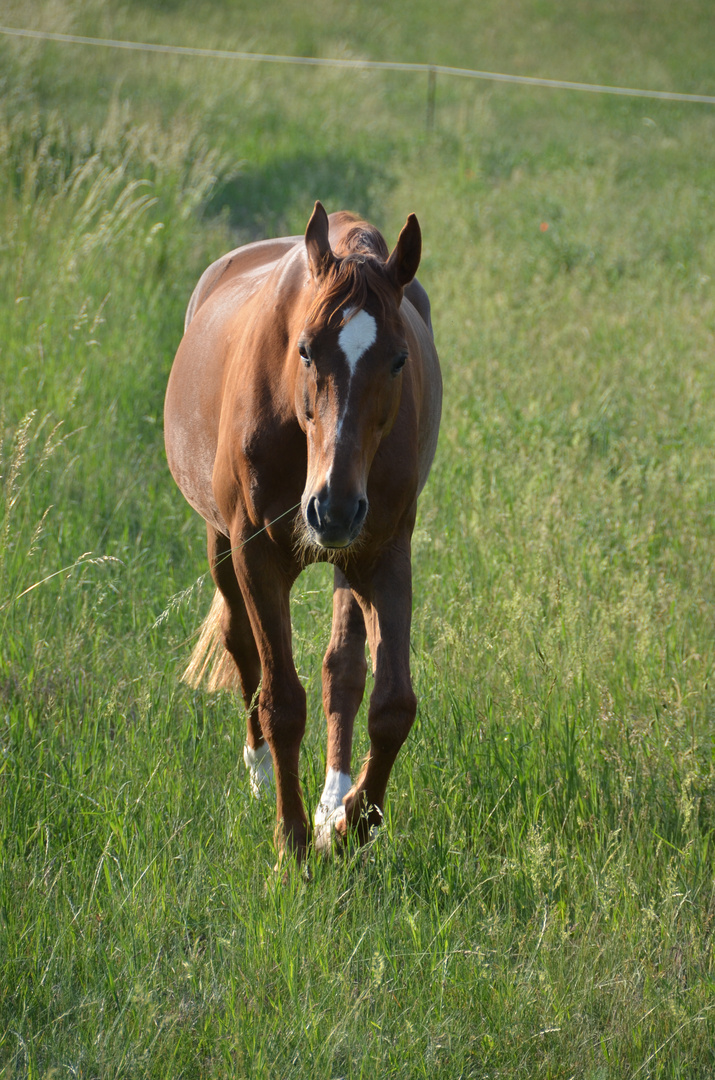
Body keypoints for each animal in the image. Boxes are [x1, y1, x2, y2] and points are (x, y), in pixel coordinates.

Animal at [165, 200, 442, 859]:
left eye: (399, 360)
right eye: (307, 351)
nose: (332, 508)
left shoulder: (384, 553)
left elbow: (391, 704)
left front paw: (348, 824)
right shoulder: (257, 555)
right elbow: (282, 700)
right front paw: (289, 844)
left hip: (349, 557)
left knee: (342, 669)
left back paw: (330, 799)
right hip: (221, 544)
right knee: (243, 647)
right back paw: (261, 772)